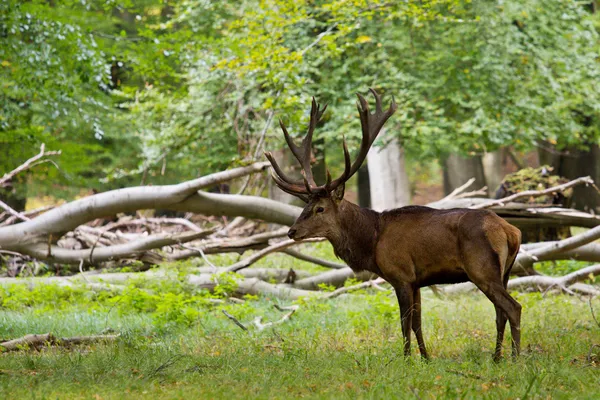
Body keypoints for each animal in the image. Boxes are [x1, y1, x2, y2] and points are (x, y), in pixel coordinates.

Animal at [264, 89, 524, 360]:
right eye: (305, 205)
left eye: (320, 208)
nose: (292, 231)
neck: (372, 241)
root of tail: (511, 231)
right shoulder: (417, 281)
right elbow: (418, 322)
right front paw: (426, 358)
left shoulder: (401, 275)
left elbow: (404, 322)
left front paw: (407, 358)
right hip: (504, 271)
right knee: (500, 313)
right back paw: (497, 358)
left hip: (481, 269)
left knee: (513, 307)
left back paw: (514, 358)